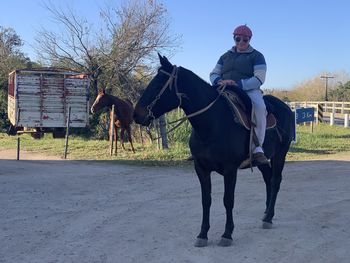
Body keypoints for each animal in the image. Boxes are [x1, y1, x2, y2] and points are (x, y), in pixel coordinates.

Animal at [134, 54, 296, 249]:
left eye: (158, 84)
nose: (137, 114)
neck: (212, 124)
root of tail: (286, 108)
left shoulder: (230, 169)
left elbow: (228, 200)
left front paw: (227, 234)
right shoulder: (201, 168)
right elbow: (206, 200)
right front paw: (202, 234)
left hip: (281, 154)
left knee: (275, 180)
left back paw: (269, 217)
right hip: (262, 161)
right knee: (268, 178)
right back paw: (266, 214)